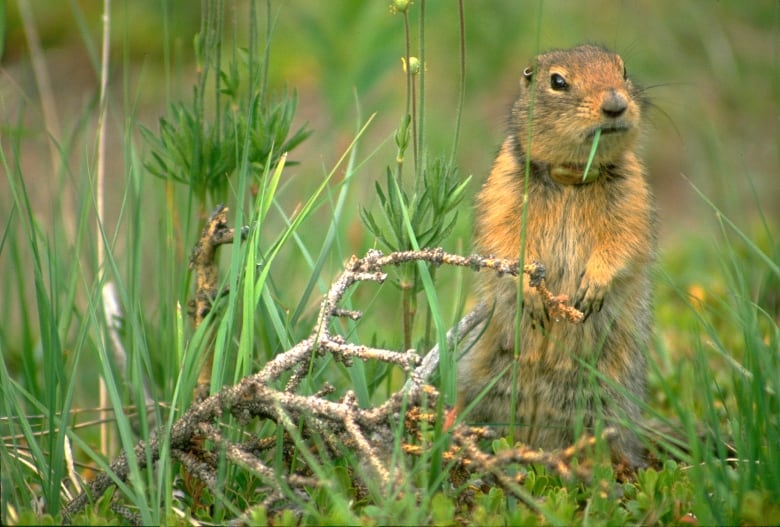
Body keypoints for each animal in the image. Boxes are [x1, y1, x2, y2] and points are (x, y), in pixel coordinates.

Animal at [460, 44, 656, 466]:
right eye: (558, 81)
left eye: (623, 71)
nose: (616, 104)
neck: (571, 176)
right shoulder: (504, 183)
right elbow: (502, 235)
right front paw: (531, 293)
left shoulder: (633, 190)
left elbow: (625, 238)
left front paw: (593, 288)